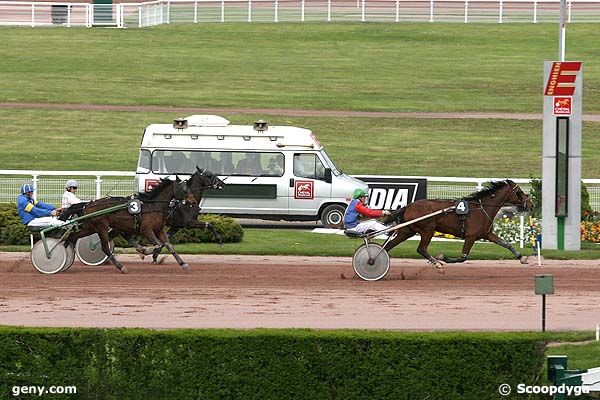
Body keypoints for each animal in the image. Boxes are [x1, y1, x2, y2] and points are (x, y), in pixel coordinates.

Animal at [67, 177, 195, 274]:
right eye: (185, 189)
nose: (193, 200)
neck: (153, 206)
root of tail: (88, 205)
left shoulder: (159, 230)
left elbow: (169, 246)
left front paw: (183, 264)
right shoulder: (147, 230)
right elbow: (158, 245)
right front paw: (145, 252)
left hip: (92, 227)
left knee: (73, 237)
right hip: (101, 226)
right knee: (104, 247)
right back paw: (121, 267)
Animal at [382, 180, 532, 268]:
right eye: (519, 192)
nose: (531, 204)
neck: (482, 208)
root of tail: (408, 206)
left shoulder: (487, 234)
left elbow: (506, 244)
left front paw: (522, 258)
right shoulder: (471, 237)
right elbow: (463, 257)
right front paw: (443, 257)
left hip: (407, 231)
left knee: (388, 246)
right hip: (428, 229)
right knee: (421, 249)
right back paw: (437, 263)